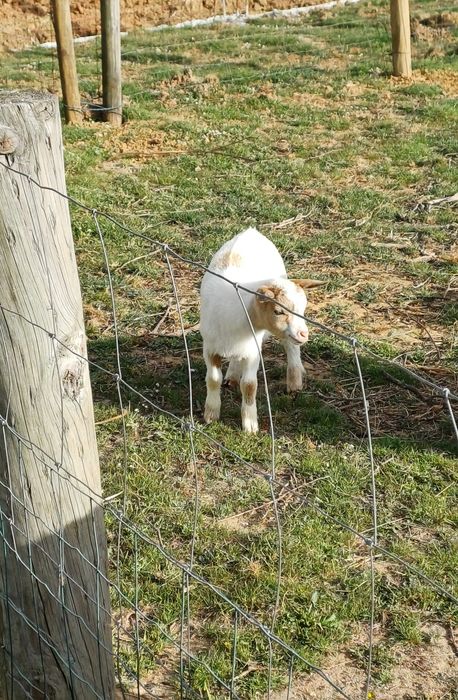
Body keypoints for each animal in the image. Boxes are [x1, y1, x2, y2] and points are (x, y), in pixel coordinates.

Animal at [199, 227, 323, 432]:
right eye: (278, 311)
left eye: (303, 309)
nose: (304, 334)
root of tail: (251, 231)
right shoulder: (210, 348)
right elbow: (213, 379)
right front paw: (211, 414)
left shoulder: (253, 350)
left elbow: (249, 385)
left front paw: (250, 425)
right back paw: (232, 375)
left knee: (291, 347)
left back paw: (294, 381)